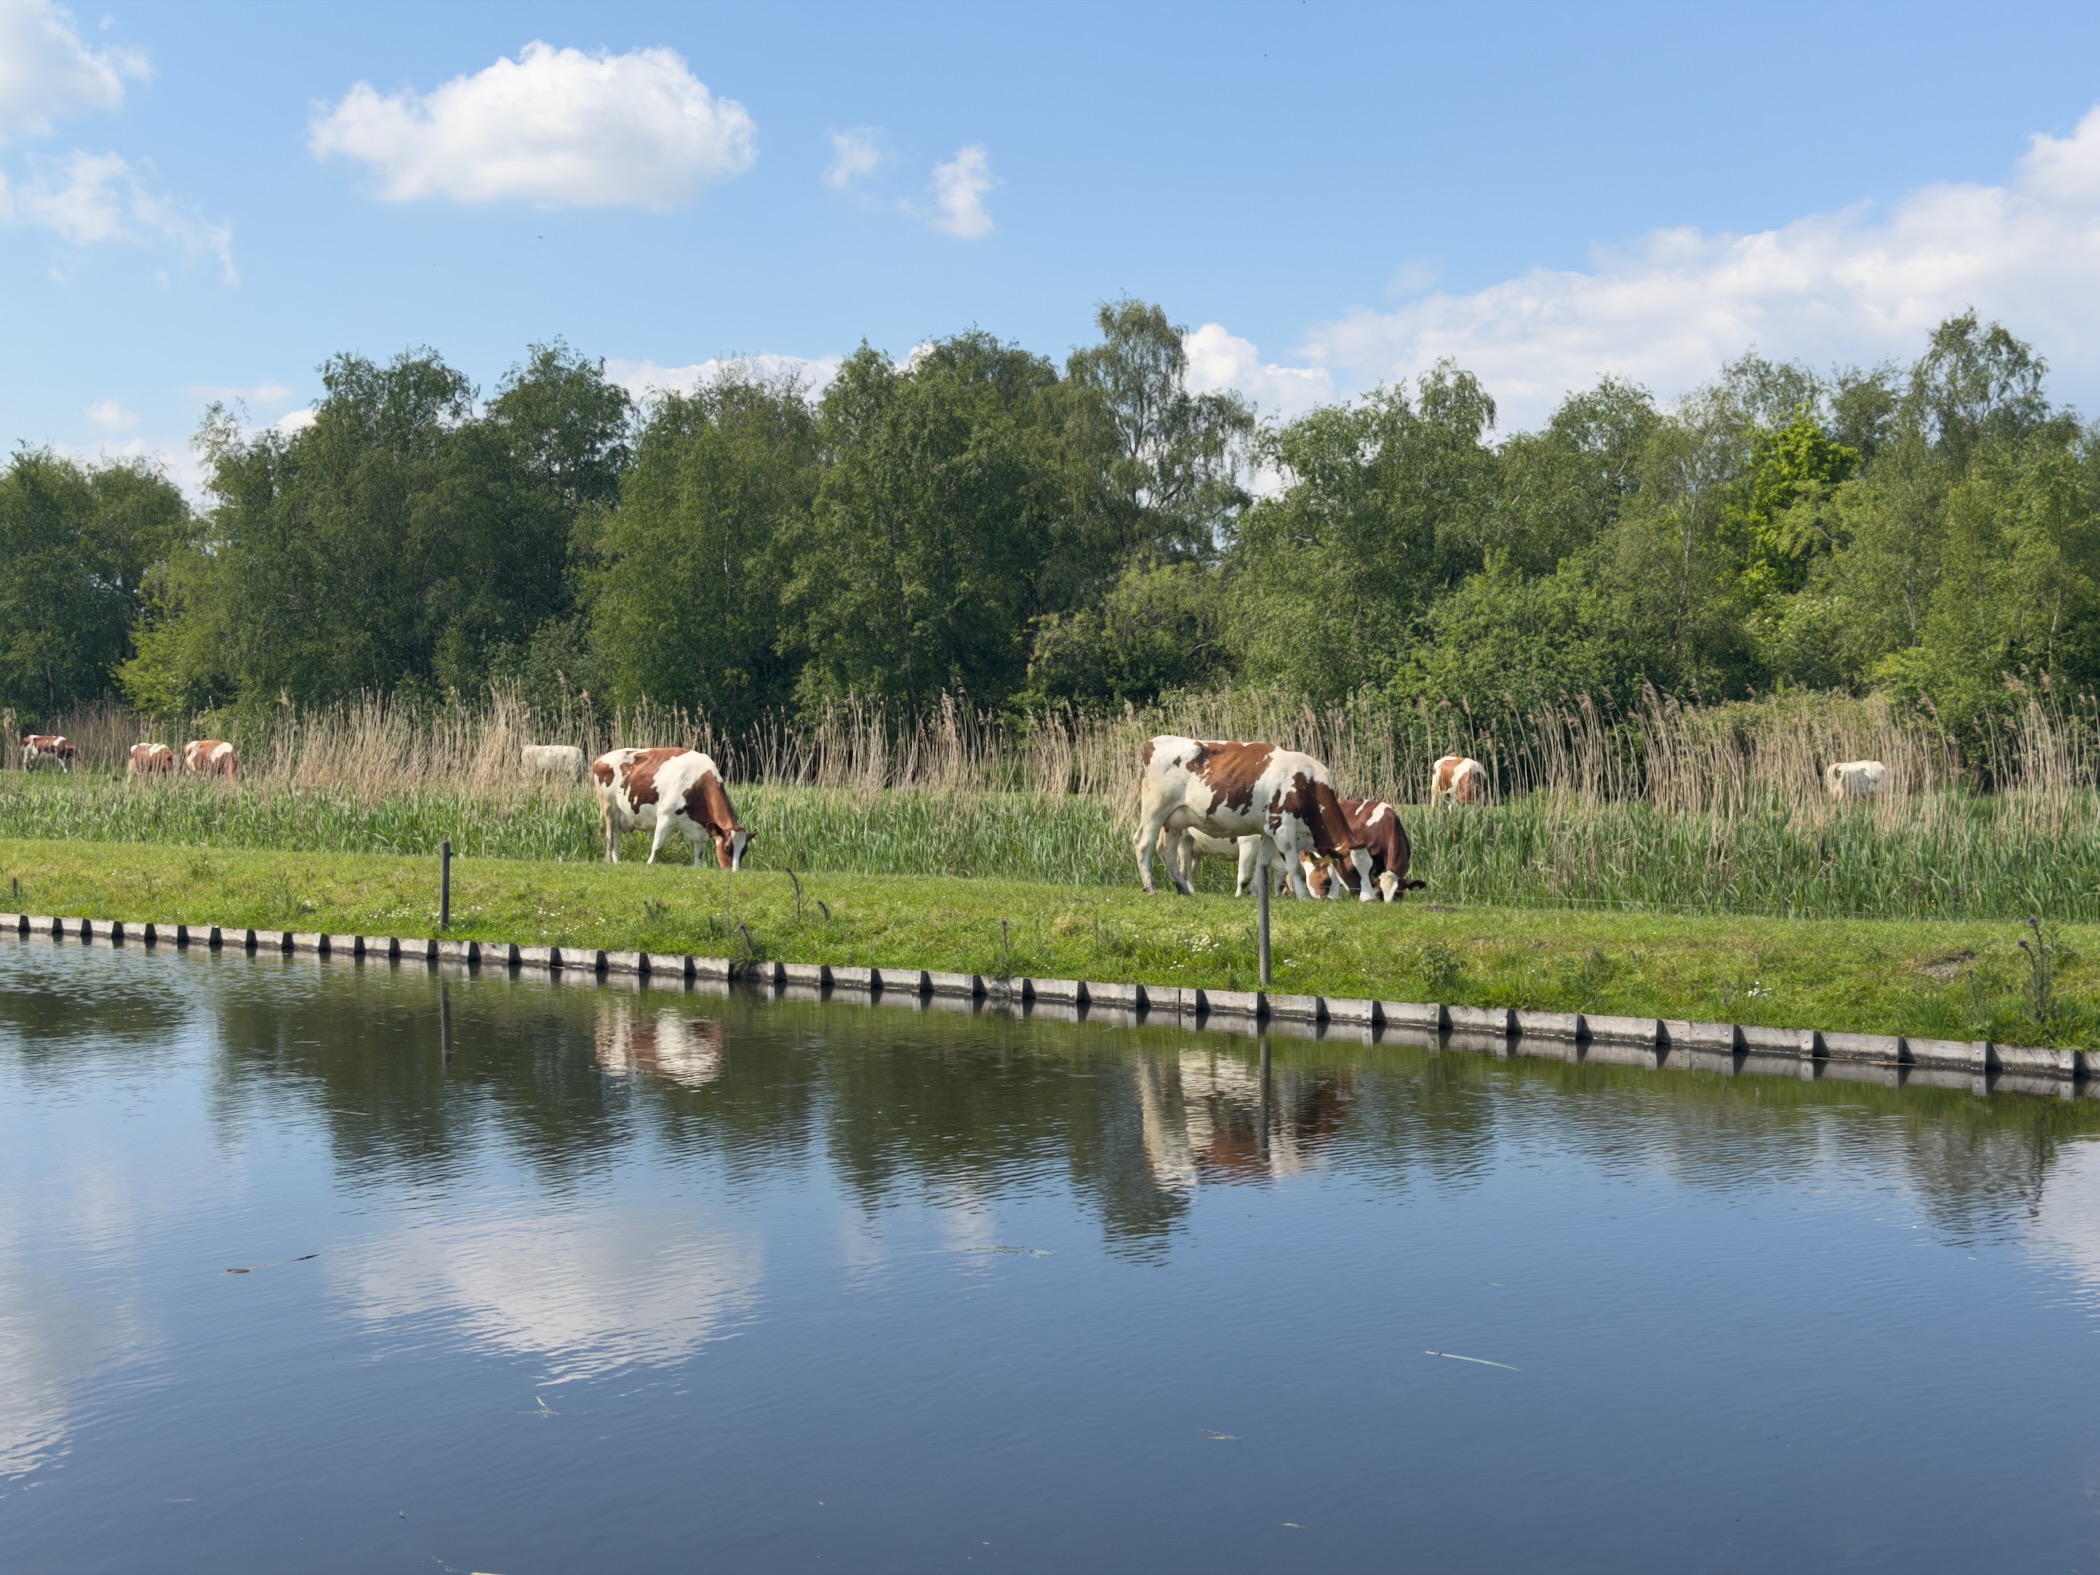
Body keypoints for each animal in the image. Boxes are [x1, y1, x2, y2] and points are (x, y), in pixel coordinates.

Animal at [591, 748, 752, 869]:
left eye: (744, 850)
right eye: (727, 848)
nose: (733, 872)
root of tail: (600, 758)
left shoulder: (700, 829)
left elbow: (699, 853)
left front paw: (697, 868)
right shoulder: (665, 815)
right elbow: (657, 846)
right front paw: (649, 864)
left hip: (619, 813)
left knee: (615, 834)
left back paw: (616, 862)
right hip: (608, 806)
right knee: (610, 837)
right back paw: (612, 861)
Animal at [1133, 736, 1375, 900]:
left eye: (1372, 869)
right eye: (1352, 869)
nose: (1370, 899)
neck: (1308, 784)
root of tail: (1153, 742)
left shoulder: (1268, 832)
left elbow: (1262, 864)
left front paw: (1257, 895)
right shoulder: (1282, 828)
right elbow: (1293, 867)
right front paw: (1303, 897)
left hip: (1175, 821)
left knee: (1167, 851)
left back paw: (1183, 888)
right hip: (1155, 810)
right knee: (1143, 844)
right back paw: (1150, 887)